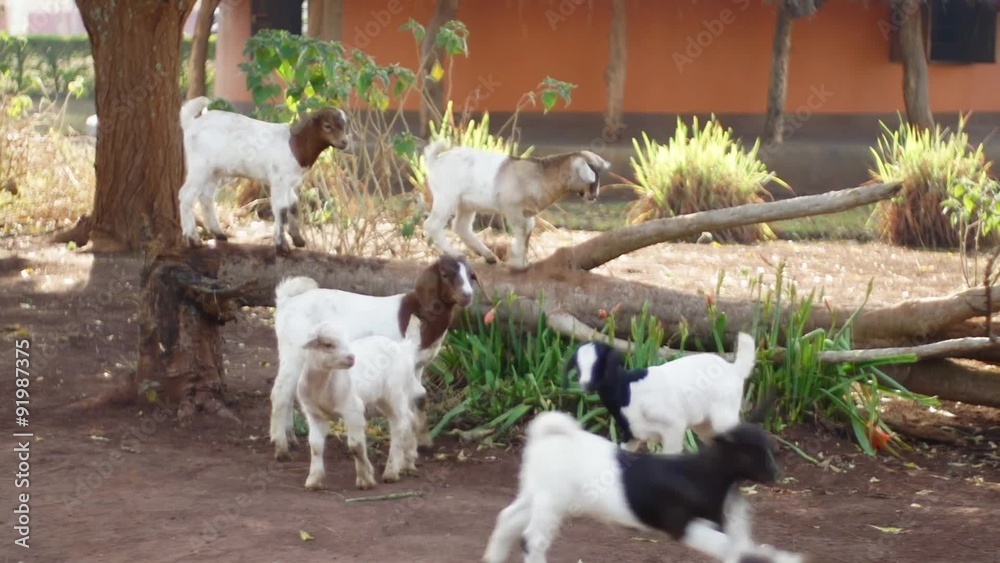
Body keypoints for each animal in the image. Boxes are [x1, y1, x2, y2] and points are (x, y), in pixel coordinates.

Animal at [177, 96, 350, 254]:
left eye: (344, 126)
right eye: (327, 126)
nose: (344, 142)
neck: (295, 145)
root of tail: (191, 123)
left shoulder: (290, 182)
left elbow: (293, 204)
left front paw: (298, 239)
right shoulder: (279, 180)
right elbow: (281, 208)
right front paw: (282, 246)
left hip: (214, 171)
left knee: (206, 197)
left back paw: (219, 234)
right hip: (199, 166)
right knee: (186, 195)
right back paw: (193, 240)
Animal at [269, 254, 478, 460]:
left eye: (470, 275)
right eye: (444, 274)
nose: (467, 295)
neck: (420, 312)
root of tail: (286, 301)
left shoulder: (417, 365)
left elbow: (417, 398)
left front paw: (422, 442)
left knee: (289, 391)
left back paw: (290, 438)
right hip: (294, 348)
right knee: (280, 392)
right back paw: (281, 447)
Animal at [297, 315, 427, 490]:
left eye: (346, 341)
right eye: (328, 344)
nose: (351, 358)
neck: (323, 386)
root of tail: (402, 348)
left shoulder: (353, 409)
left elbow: (355, 446)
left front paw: (366, 478)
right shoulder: (313, 413)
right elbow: (315, 445)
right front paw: (314, 480)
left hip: (396, 392)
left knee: (400, 424)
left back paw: (391, 471)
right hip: (383, 399)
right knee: (410, 418)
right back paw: (408, 461)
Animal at [422, 140, 611, 270]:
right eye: (593, 173)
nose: (594, 196)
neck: (541, 175)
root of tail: (435, 162)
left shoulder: (527, 214)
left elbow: (527, 233)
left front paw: (523, 262)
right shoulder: (513, 209)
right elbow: (521, 232)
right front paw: (518, 264)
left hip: (466, 204)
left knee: (461, 227)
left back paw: (488, 256)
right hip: (446, 198)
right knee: (432, 225)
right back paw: (455, 253)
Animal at [565, 333, 757, 454]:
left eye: (600, 363)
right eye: (577, 365)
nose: (586, 384)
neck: (627, 390)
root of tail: (734, 369)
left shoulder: (674, 426)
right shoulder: (631, 434)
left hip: (724, 415)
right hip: (704, 424)